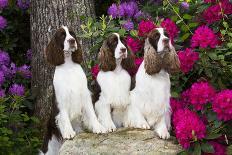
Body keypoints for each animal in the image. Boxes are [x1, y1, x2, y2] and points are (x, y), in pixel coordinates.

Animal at [40, 26, 106, 155]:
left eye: (72, 34)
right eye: (62, 35)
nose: (72, 41)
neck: (69, 66)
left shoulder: (85, 96)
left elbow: (91, 113)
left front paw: (98, 127)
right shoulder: (61, 100)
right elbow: (64, 116)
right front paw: (68, 132)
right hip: (50, 146)